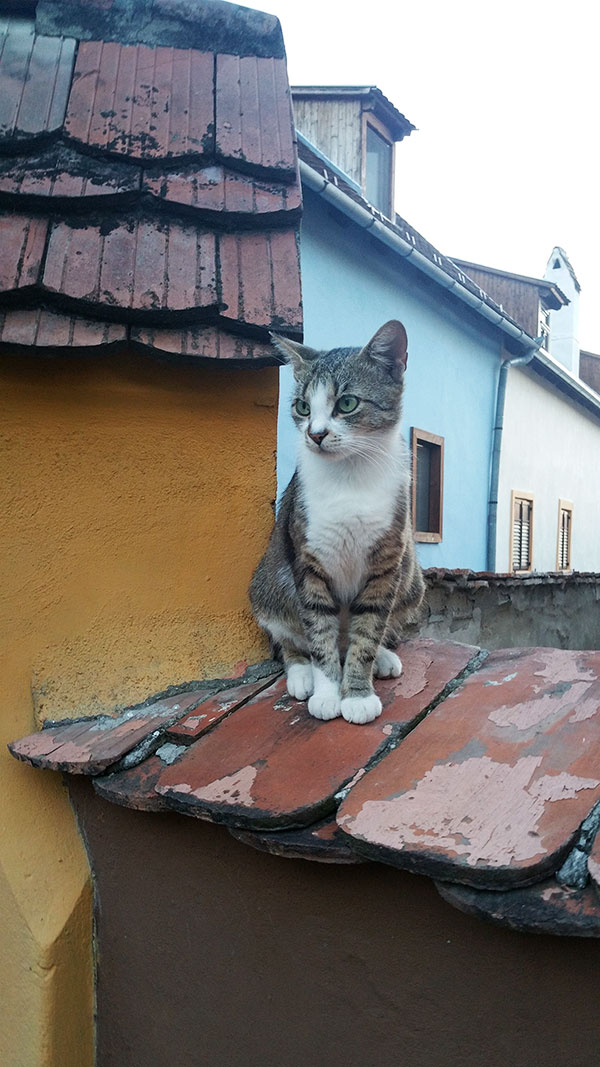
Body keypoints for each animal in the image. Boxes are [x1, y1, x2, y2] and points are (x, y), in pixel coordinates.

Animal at [249, 317, 422, 725]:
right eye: (301, 406)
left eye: (347, 403)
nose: (315, 434)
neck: (350, 476)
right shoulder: (307, 558)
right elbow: (318, 630)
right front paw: (327, 692)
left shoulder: (387, 561)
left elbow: (369, 629)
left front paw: (357, 693)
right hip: (270, 583)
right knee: (289, 638)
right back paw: (301, 674)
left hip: (412, 578)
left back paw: (384, 658)